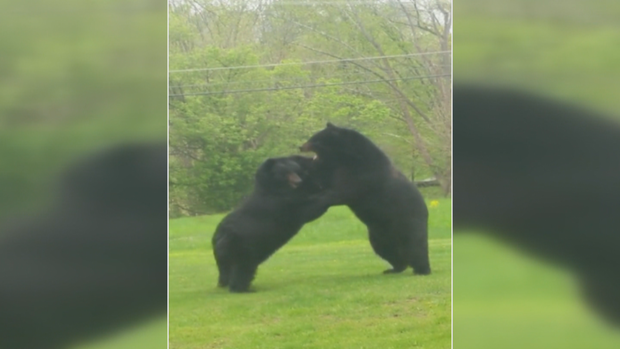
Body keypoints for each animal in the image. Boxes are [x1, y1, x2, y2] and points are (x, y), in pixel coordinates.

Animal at [212, 154, 330, 290]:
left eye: (295, 170)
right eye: (286, 173)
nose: (298, 181)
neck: (275, 187)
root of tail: (217, 238)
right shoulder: (281, 203)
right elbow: (309, 209)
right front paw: (328, 195)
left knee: (226, 270)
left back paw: (225, 284)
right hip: (241, 246)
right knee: (242, 268)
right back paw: (243, 288)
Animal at [300, 122, 432, 274]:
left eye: (315, 139)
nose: (301, 146)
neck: (349, 158)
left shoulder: (364, 176)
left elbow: (341, 193)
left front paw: (315, 201)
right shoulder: (337, 169)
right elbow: (325, 179)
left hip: (409, 224)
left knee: (416, 247)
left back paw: (422, 270)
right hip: (378, 237)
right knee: (388, 252)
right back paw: (394, 268)